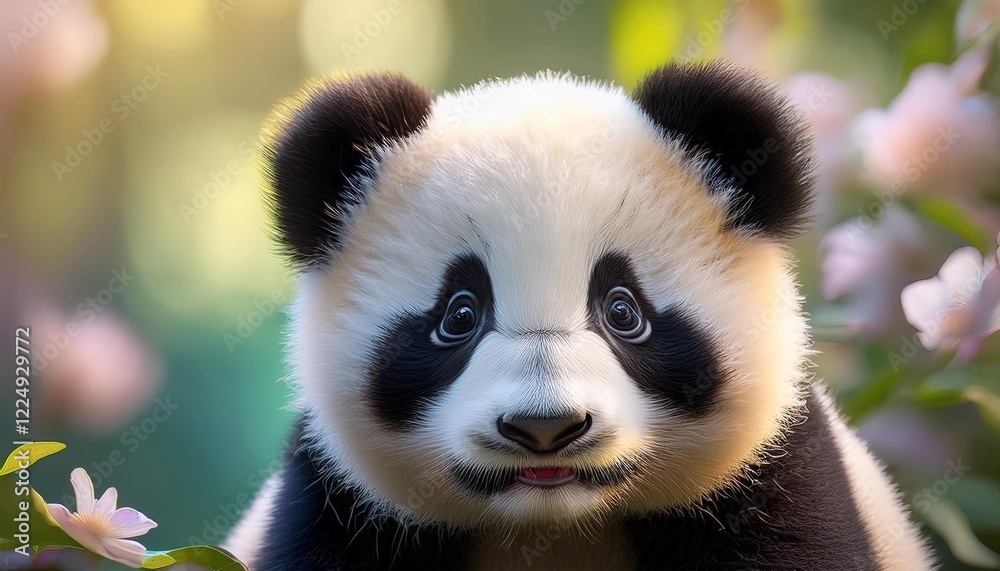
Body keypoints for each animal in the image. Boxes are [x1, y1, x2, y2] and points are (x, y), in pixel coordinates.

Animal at [223, 61, 936, 570]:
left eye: (623, 311)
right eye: (459, 315)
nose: (546, 428)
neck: (557, 523)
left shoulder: (770, 478)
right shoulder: (340, 504)